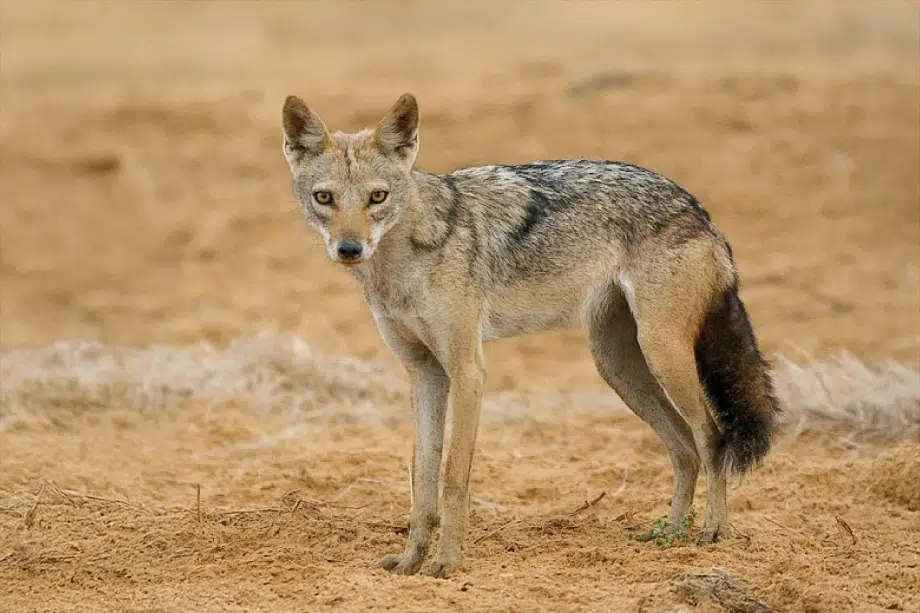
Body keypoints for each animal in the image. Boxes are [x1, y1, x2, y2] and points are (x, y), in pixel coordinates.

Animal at [281, 92, 781, 578]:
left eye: (377, 197)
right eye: (325, 198)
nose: (349, 248)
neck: (405, 261)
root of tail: (698, 208)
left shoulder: (468, 371)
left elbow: (453, 478)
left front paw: (446, 564)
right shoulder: (424, 373)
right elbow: (421, 480)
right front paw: (410, 562)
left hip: (662, 353)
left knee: (711, 437)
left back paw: (711, 532)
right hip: (618, 366)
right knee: (683, 447)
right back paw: (669, 534)